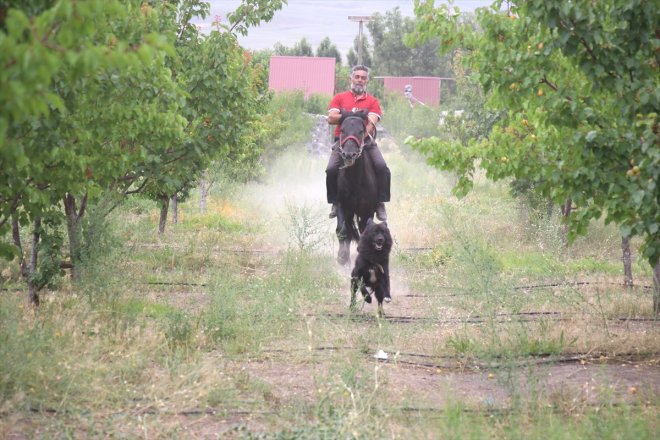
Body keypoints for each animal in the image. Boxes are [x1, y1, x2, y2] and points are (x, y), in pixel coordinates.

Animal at [336, 111, 376, 264]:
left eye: (361, 131)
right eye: (342, 130)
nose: (349, 154)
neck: (355, 181)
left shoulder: (367, 210)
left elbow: (365, 231)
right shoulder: (343, 206)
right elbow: (343, 230)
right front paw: (342, 256)